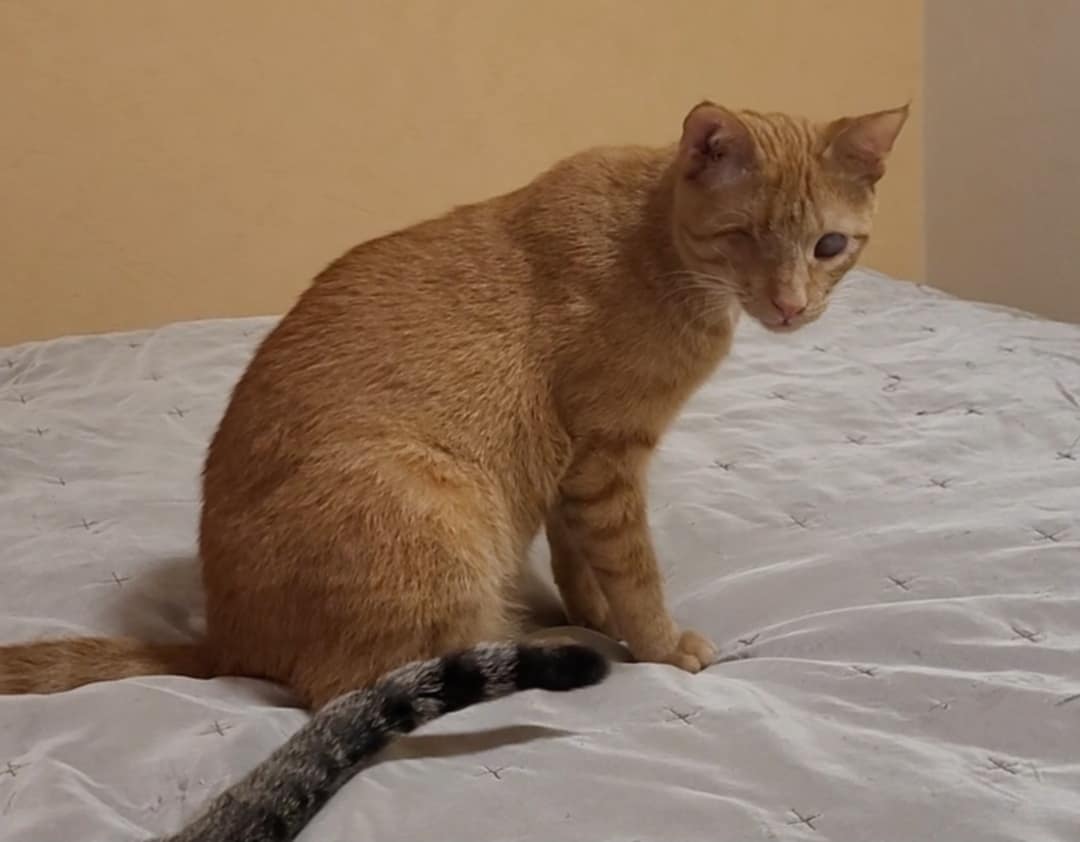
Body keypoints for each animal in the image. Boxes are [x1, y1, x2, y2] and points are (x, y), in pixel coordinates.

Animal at [0, 100, 907, 707]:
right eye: (745, 236)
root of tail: (221, 642)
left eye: (829, 245)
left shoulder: (578, 468)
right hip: (439, 503)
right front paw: (655, 643)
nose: (791, 306)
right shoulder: (608, 459)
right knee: (364, 685)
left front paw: (596, 613)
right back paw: (540, 645)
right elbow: (635, 570)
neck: (656, 245)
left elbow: (581, 562)